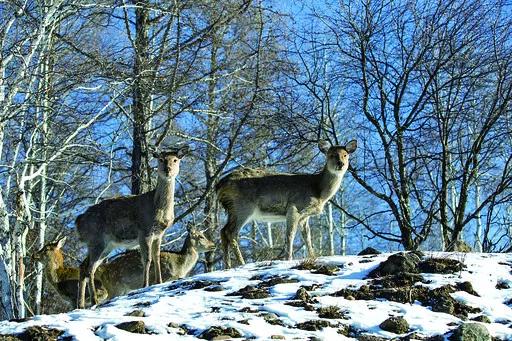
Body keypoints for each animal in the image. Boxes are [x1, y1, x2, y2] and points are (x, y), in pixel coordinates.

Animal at [76, 145, 188, 306]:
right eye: (161, 159)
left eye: (175, 160)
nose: (168, 169)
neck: (157, 209)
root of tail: (78, 222)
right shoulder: (144, 231)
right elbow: (147, 260)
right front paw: (145, 284)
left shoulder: (159, 234)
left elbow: (156, 257)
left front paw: (159, 282)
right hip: (97, 239)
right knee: (90, 268)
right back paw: (94, 299)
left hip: (106, 245)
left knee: (84, 266)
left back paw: (81, 304)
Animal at [216, 139, 356, 266]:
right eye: (331, 155)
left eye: (345, 155)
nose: (340, 163)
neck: (318, 191)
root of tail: (219, 186)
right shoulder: (295, 207)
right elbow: (290, 234)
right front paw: (288, 259)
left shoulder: (304, 217)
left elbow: (307, 237)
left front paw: (313, 257)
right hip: (243, 206)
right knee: (231, 232)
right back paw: (241, 263)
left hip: (232, 209)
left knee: (223, 231)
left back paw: (227, 265)